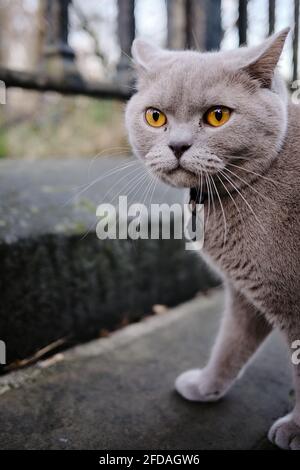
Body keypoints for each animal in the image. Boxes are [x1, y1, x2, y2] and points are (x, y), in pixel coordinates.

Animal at [125, 27, 300, 450]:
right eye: (155, 117)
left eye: (217, 116)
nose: (177, 146)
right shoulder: (249, 292)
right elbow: (230, 344)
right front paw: (205, 388)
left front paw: (293, 429)